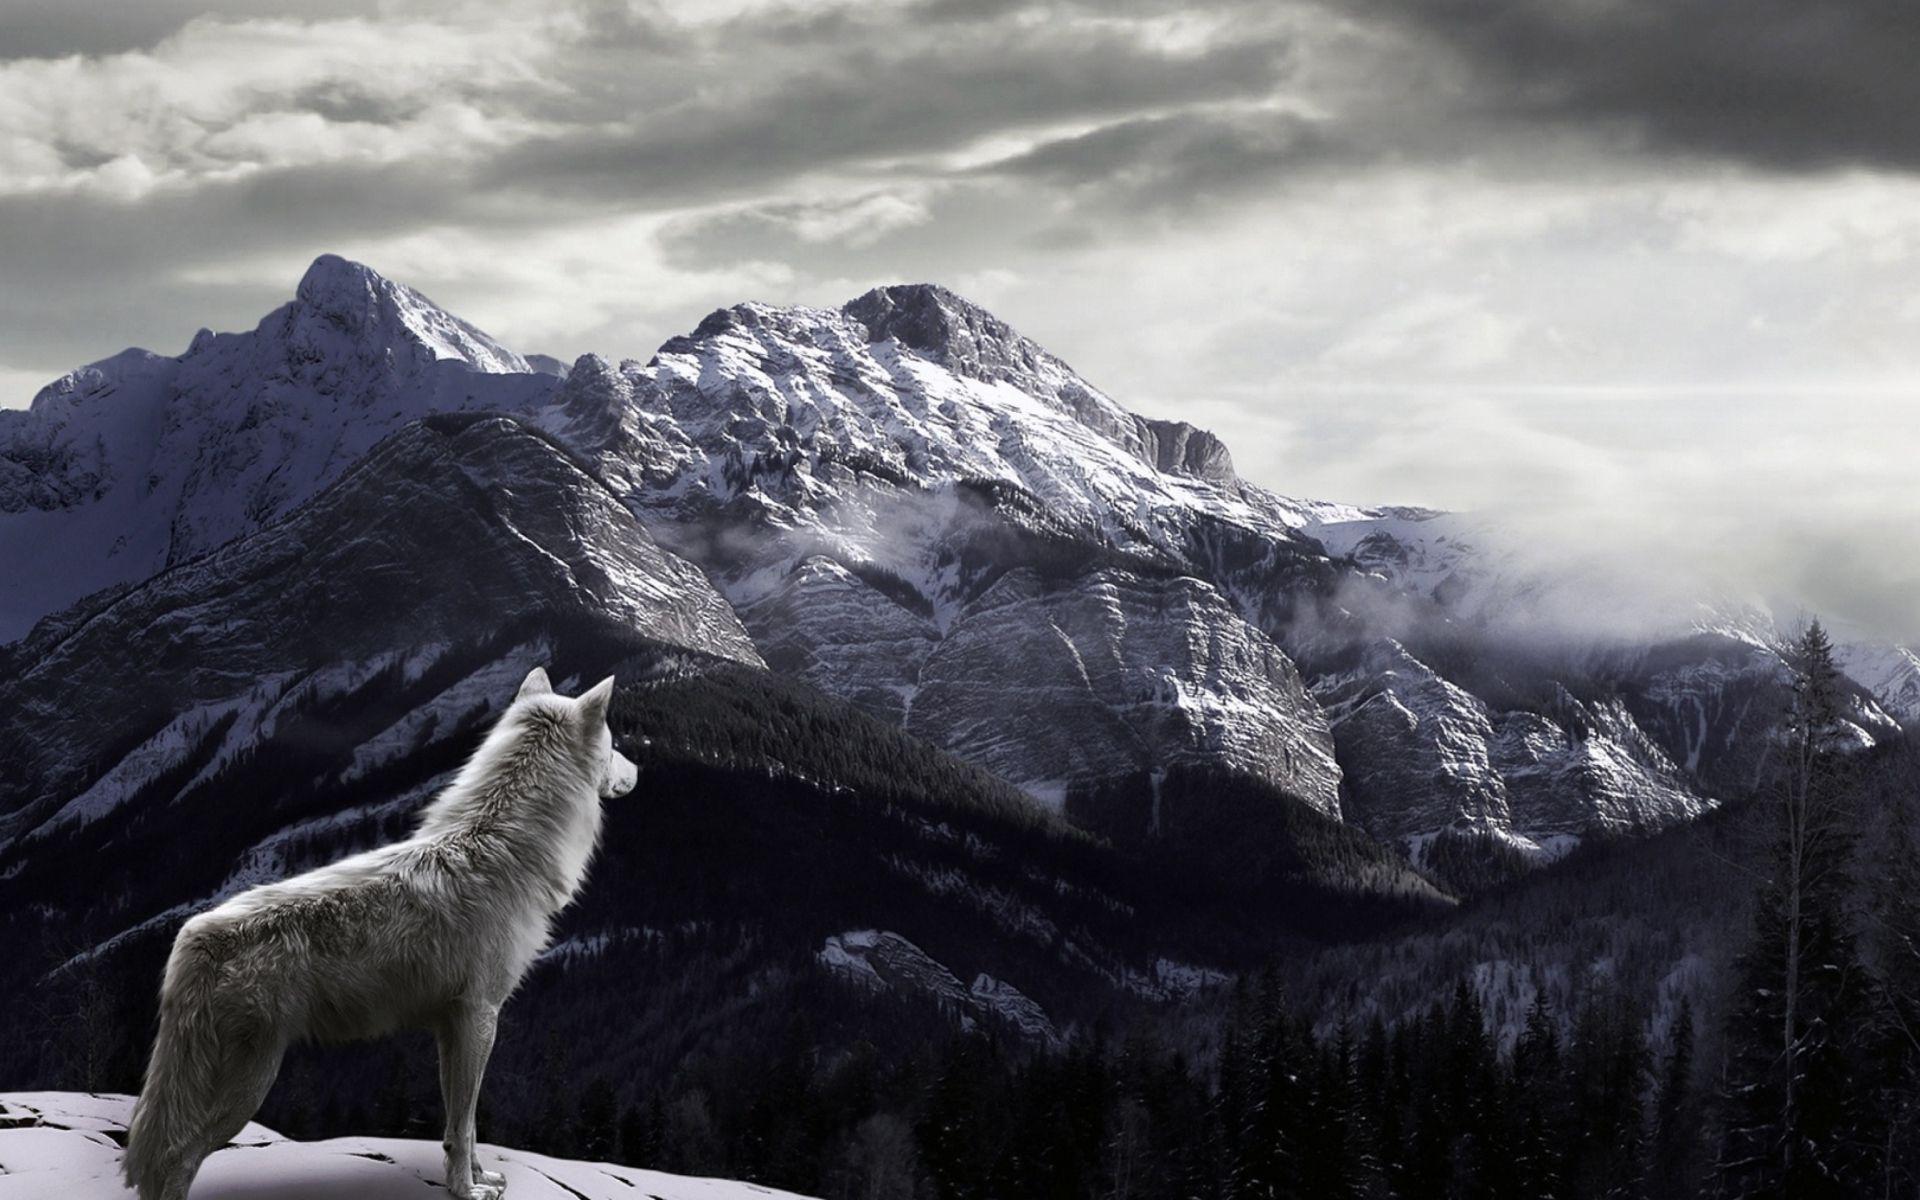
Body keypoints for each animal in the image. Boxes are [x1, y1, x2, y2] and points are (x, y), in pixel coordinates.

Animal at [122, 667, 637, 1200]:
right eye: (615, 744)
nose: (638, 770)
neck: (504, 848)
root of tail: (194, 936)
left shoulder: (452, 1026)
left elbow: (463, 1124)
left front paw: (478, 1177)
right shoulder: (481, 1016)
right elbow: (465, 1123)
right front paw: (466, 1190)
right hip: (247, 1088)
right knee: (175, 1159)